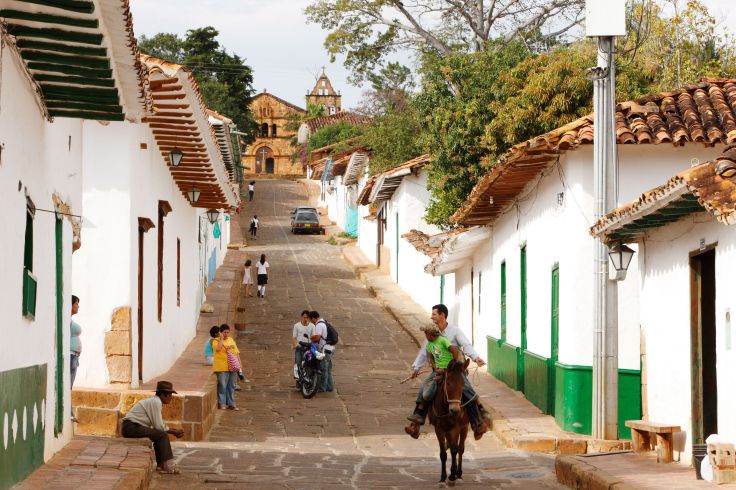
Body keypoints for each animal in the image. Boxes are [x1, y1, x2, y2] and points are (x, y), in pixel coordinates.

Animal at [428, 356, 468, 486]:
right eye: (448, 383)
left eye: (463, 384)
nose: (455, 410)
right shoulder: (439, 429)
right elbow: (443, 453)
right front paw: (442, 477)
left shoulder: (455, 428)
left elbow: (455, 450)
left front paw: (452, 476)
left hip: (464, 427)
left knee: (460, 449)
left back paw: (458, 474)